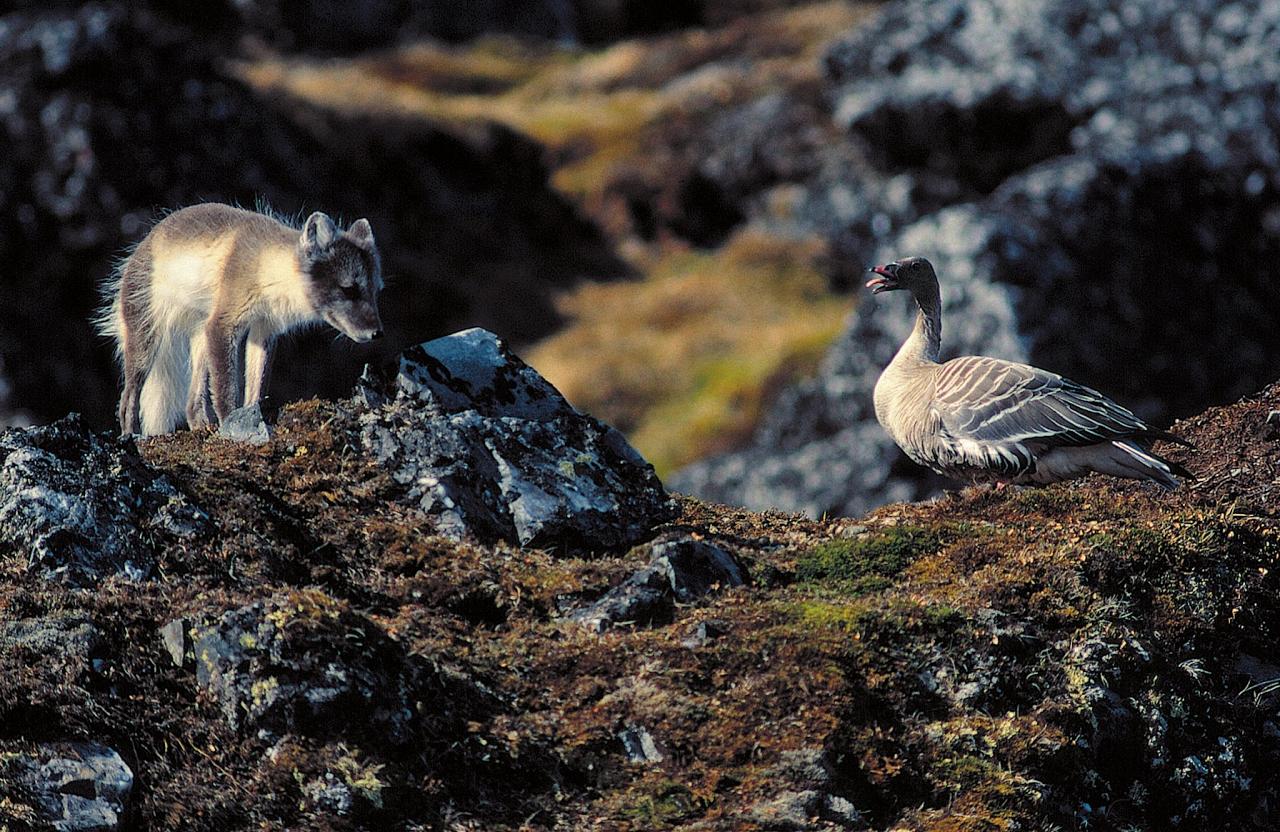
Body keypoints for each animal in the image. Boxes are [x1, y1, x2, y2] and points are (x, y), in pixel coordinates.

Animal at [97, 202, 381, 435]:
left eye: (376, 291)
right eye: (349, 289)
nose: (377, 333)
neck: (268, 270)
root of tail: (144, 243)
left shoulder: (264, 329)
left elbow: (256, 387)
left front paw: (253, 420)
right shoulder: (223, 324)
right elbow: (227, 390)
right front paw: (232, 426)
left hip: (201, 340)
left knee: (192, 402)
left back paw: (203, 428)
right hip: (146, 340)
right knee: (128, 398)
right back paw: (131, 435)